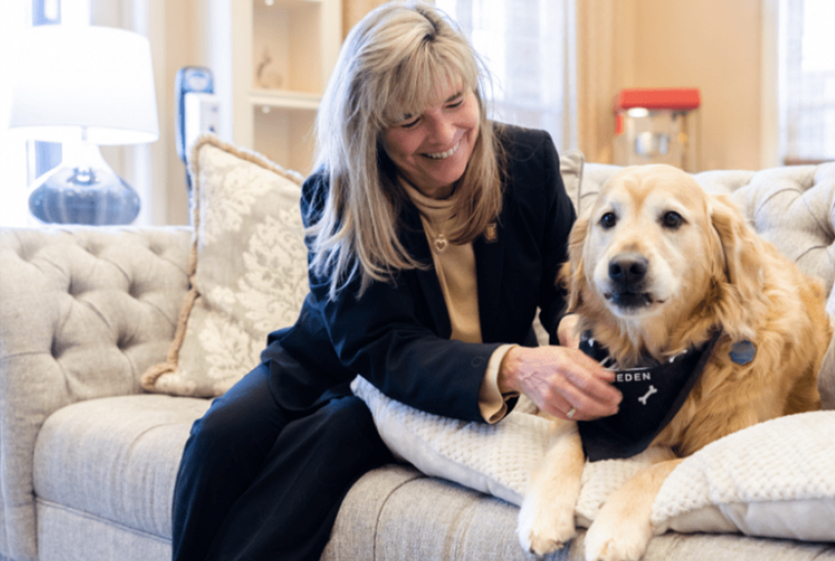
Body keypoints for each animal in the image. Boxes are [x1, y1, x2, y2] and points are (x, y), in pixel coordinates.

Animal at [520, 164, 832, 560]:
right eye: (607, 219)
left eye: (671, 219)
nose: (625, 267)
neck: (659, 354)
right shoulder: (578, 396)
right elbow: (564, 442)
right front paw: (543, 512)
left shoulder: (724, 439)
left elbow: (657, 471)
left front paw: (614, 527)